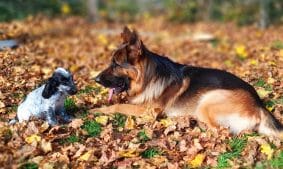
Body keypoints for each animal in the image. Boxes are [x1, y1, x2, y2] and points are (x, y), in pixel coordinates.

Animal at [93, 26, 283, 137]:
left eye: (116, 64)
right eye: (111, 62)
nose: (95, 79)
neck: (149, 78)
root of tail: (259, 104)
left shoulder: (148, 111)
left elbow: (117, 106)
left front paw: (95, 110)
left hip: (207, 103)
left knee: (221, 132)